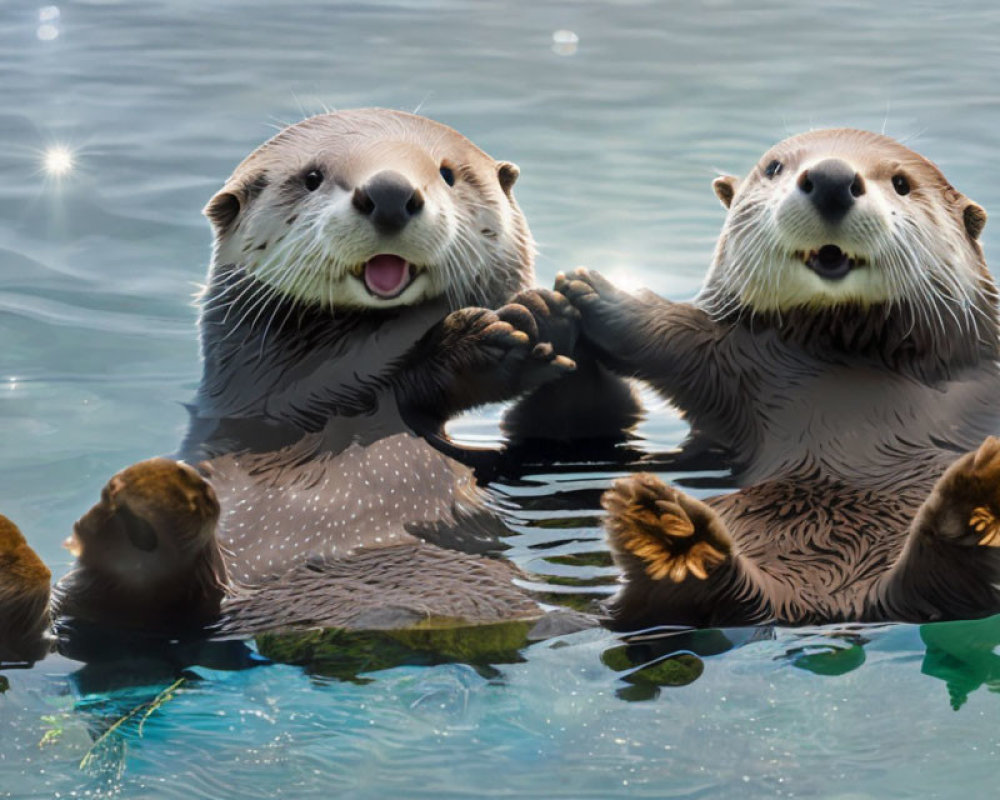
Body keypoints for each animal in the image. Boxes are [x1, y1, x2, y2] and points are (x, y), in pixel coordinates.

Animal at [560, 128, 1000, 628]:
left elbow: (683, 339)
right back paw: (669, 534)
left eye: (902, 183)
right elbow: (687, 347)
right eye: (774, 168)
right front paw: (594, 289)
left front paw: (600, 291)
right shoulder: (746, 368)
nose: (831, 178)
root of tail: (822, 603)